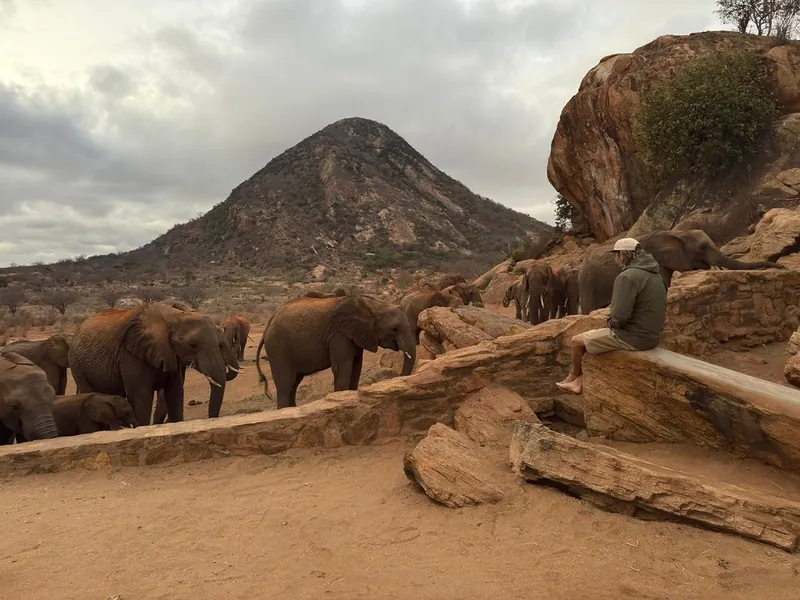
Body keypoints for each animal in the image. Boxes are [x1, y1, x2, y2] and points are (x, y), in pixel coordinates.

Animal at [68, 302, 241, 427]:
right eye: (192, 345)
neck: (174, 317)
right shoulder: (131, 356)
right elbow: (141, 398)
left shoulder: (170, 355)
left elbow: (175, 393)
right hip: (77, 364)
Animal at [255, 295, 417, 409]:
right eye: (394, 329)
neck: (373, 304)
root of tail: (269, 323)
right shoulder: (338, 335)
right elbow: (343, 368)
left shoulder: (354, 335)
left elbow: (356, 367)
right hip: (278, 348)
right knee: (286, 382)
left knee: (294, 382)